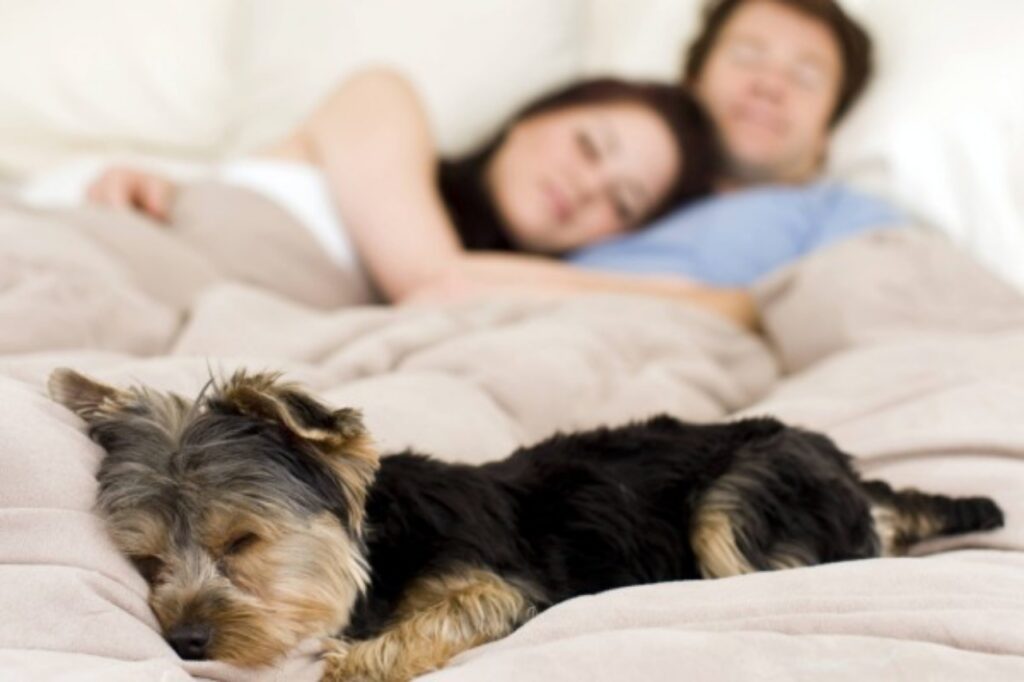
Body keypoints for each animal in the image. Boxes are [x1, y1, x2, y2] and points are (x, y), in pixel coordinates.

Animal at [48, 366, 999, 679]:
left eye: (241, 543)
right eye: (146, 563)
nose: (185, 642)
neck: (376, 546)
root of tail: (849, 466)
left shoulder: (497, 583)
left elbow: (443, 618)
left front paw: (354, 658)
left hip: (747, 494)